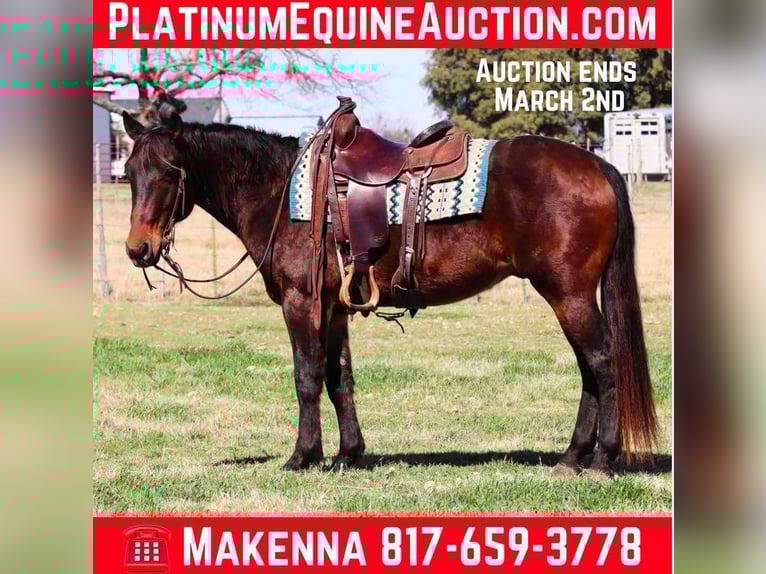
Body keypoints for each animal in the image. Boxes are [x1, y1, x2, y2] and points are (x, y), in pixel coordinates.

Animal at [121, 108, 657, 477]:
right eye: (129, 174)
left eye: (169, 173)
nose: (137, 248)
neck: (279, 193)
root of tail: (598, 166)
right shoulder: (334, 308)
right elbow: (339, 379)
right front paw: (346, 455)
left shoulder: (300, 303)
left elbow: (306, 378)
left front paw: (301, 456)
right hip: (569, 297)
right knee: (588, 370)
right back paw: (571, 456)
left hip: (569, 295)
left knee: (602, 363)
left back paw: (601, 459)